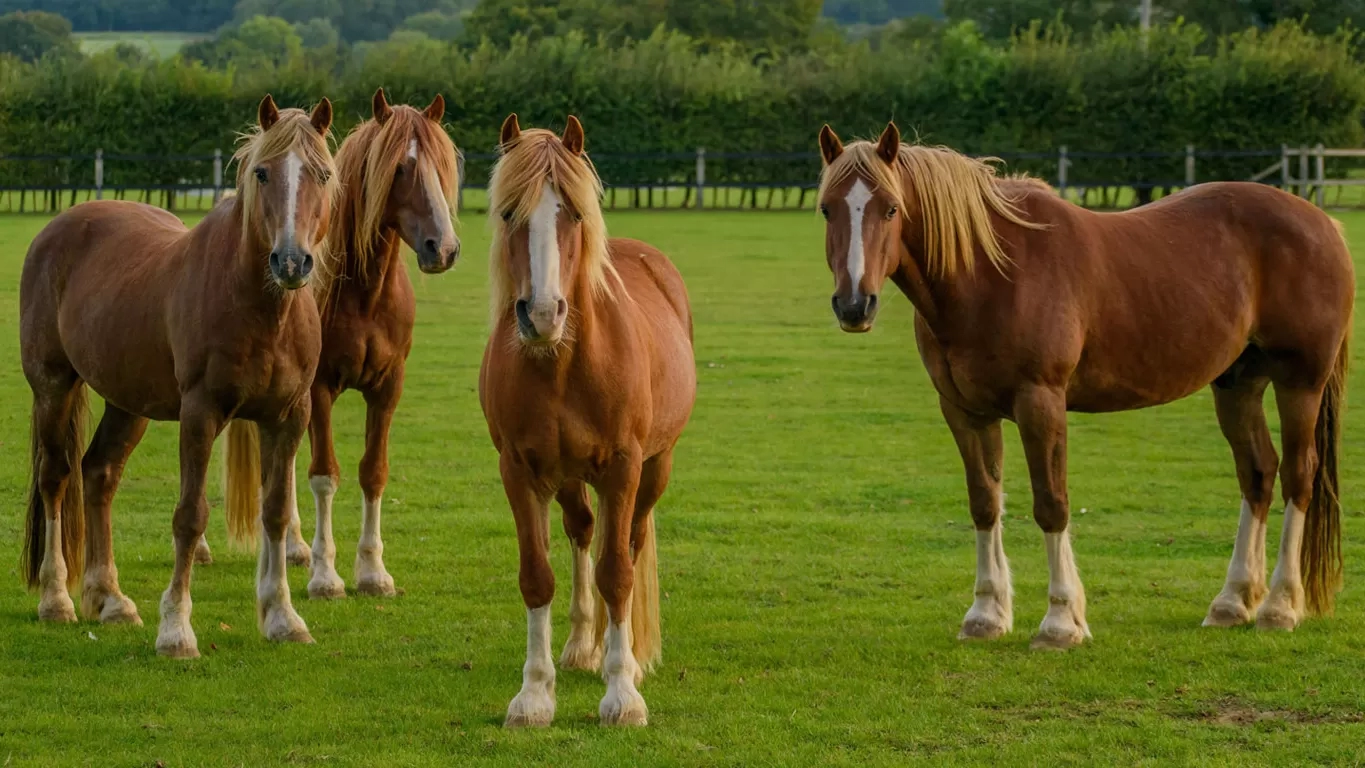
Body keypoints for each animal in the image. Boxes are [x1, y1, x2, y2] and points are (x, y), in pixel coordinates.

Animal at [19, 96, 338, 657]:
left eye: (321, 173)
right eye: (262, 172)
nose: (291, 260)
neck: (259, 308)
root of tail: (58, 228)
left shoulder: (288, 416)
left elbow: (276, 511)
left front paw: (283, 617)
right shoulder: (201, 414)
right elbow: (190, 516)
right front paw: (176, 629)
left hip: (127, 402)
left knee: (99, 473)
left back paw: (110, 599)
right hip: (52, 387)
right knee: (55, 477)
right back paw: (56, 598)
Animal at [259, 87, 458, 597]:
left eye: (443, 166)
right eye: (401, 168)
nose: (443, 248)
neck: (365, 294)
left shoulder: (387, 388)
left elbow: (374, 471)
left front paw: (371, 570)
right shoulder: (320, 389)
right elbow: (324, 475)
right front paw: (325, 575)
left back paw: (293, 546)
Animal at [477, 113, 693, 725]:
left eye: (572, 213)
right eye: (509, 212)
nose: (542, 314)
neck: (562, 365)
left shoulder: (622, 468)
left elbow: (617, 573)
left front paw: (621, 694)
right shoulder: (519, 471)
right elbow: (537, 576)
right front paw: (533, 694)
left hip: (654, 468)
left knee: (631, 542)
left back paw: (627, 659)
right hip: (569, 477)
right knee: (582, 532)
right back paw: (579, 645)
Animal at [813, 123, 1348, 652]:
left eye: (891, 208)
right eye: (826, 208)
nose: (855, 305)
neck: (990, 273)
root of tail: (1324, 223)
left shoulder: (1040, 402)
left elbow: (1052, 504)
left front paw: (1060, 621)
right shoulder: (965, 411)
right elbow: (984, 503)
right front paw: (986, 614)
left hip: (1300, 383)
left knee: (1298, 476)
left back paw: (1279, 606)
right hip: (1238, 384)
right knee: (1257, 473)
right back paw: (1233, 602)